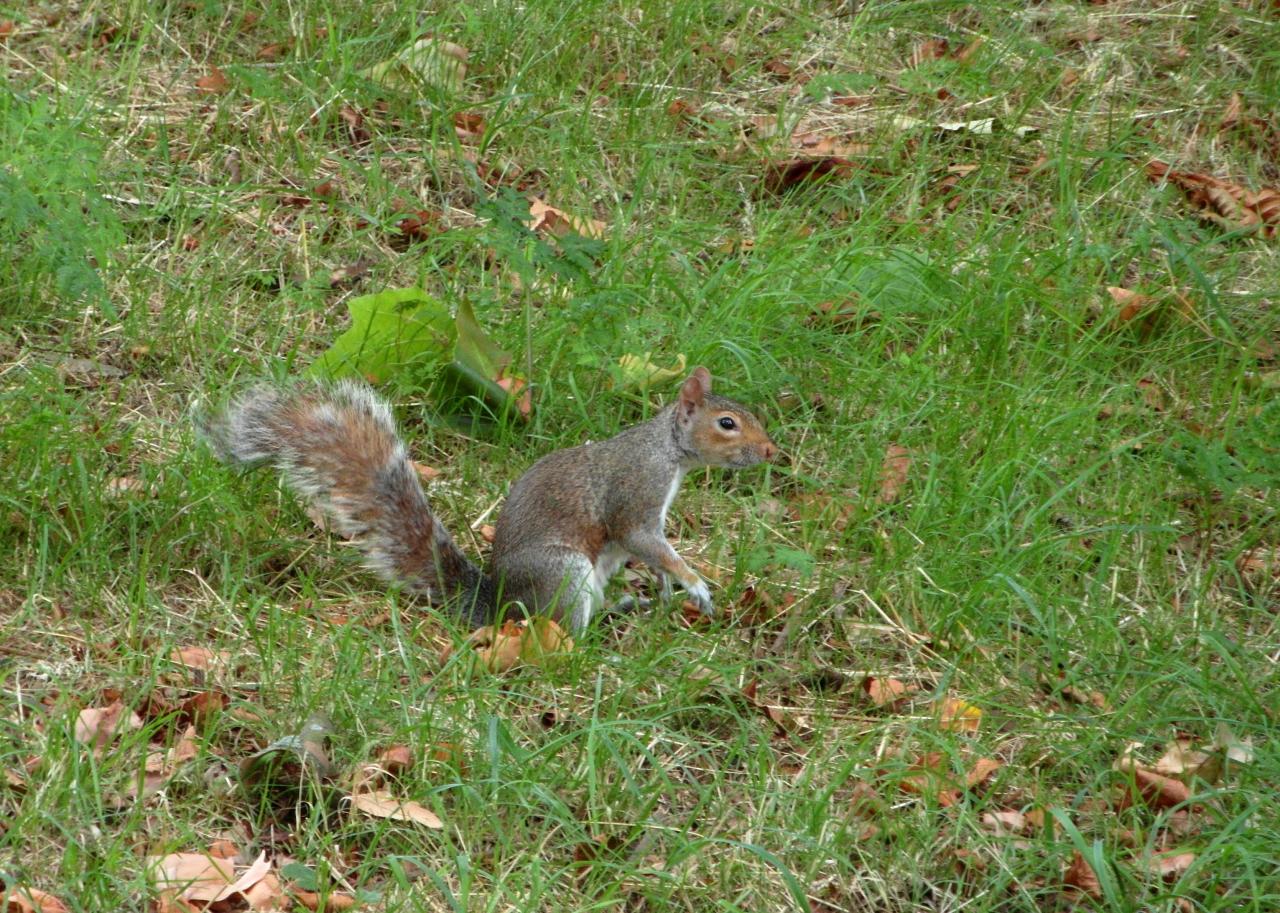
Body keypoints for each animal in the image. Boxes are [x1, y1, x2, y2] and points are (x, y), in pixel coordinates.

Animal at [204, 366, 773, 630]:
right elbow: (645, 540)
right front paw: (694, 583)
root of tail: (501, 606)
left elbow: (654, 553)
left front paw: (667, 586)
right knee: (562, 632)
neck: (669, 450)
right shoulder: (636, 496)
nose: (770, 450)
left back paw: (629, 606)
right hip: (564, 574)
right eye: (727, 423)